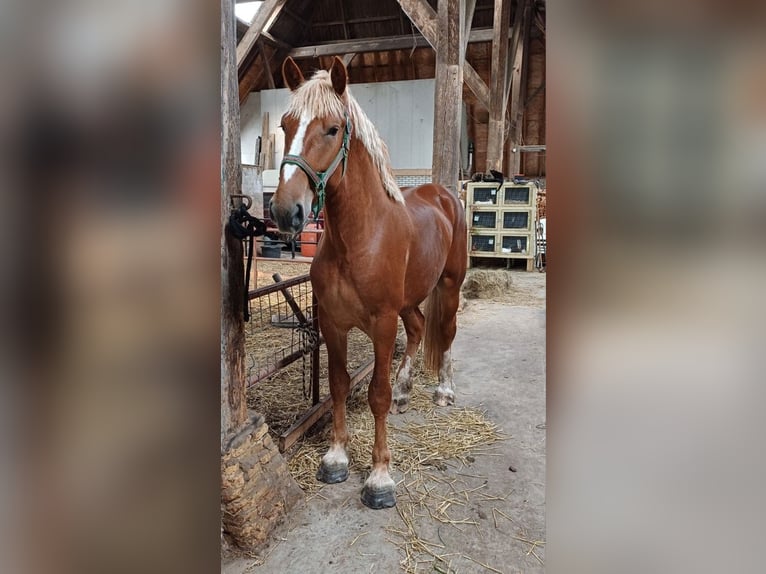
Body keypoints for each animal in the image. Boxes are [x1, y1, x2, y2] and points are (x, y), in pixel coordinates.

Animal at [272, 56, 472, 510]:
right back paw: (405, 391)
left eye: (332, 128)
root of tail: (444, 195)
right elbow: (339, 385)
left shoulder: (382, 322)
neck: (360, 237)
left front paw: (380, 478)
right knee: (418, 329)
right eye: (285, 125)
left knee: (447, 334)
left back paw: (443, 390)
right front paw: (335, 458)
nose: (285, 212)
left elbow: (374, 394)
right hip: (411, 300)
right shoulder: (333, 324)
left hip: (449, 286)